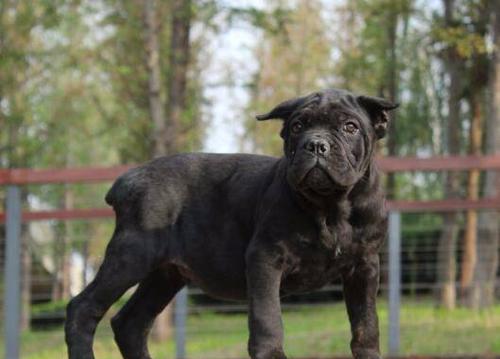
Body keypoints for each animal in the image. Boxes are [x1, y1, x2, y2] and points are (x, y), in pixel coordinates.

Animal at [64, 88, 396, 359]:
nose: (315, 145)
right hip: (132, 254)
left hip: (165, 274)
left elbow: (366, 324)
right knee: (83, 309)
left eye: (350, 127)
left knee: (131, 323)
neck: (331, 206)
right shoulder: (265, 259)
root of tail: (128, 178)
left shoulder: (365, 266)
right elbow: (267, 319)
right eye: (297, 126)